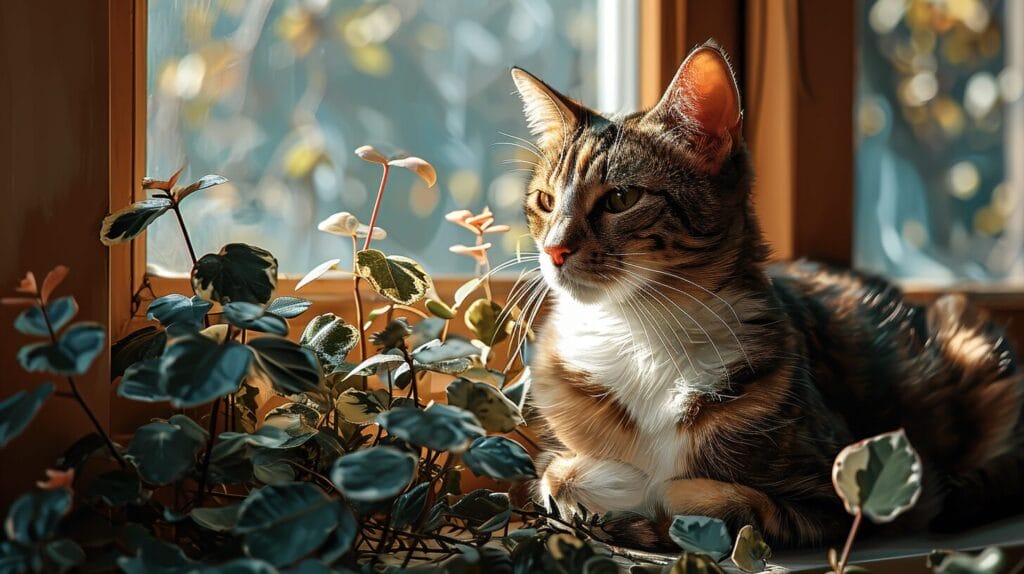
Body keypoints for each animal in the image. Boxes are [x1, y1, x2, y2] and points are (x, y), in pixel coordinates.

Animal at [512, 40, 1024, 544]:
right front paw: (614, 486)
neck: (640, 333)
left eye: (621, 199)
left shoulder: (841, 494)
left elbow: (705, 498)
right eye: (545, 201)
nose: (554, 250)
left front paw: (649, 493)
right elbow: (553, 475)